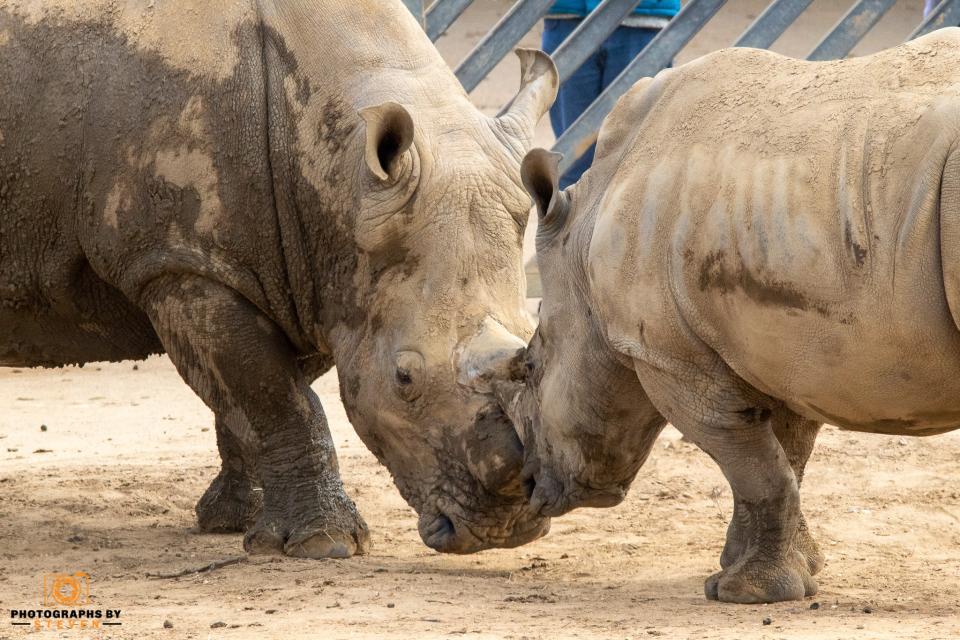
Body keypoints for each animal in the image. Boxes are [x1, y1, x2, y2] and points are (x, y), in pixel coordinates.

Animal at [0, 0, 559, 557]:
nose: (504, 532)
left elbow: (257, 397)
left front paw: (232, 521)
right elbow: (276, 397)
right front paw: (325, 545)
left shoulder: (304, 271)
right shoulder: (181, 263)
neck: (340, 173)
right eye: (404, 378)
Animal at [501, 29, 960, 603]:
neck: (583, 242)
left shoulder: (669, 359)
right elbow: (783, 459)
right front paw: (783, 571)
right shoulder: (786, 345)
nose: (526, 484)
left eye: (529, 369)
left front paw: (747, 593)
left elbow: (758, 469)